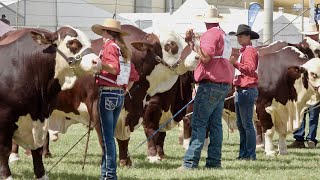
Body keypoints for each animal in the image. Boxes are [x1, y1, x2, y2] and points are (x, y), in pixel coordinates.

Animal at [0, 26, 100, 179]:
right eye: (72, 43)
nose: (97, 61)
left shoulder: (41, 118)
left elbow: (37, 149)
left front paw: (41, 174)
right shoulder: (4, 119)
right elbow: (4, 149)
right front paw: (7, 175)